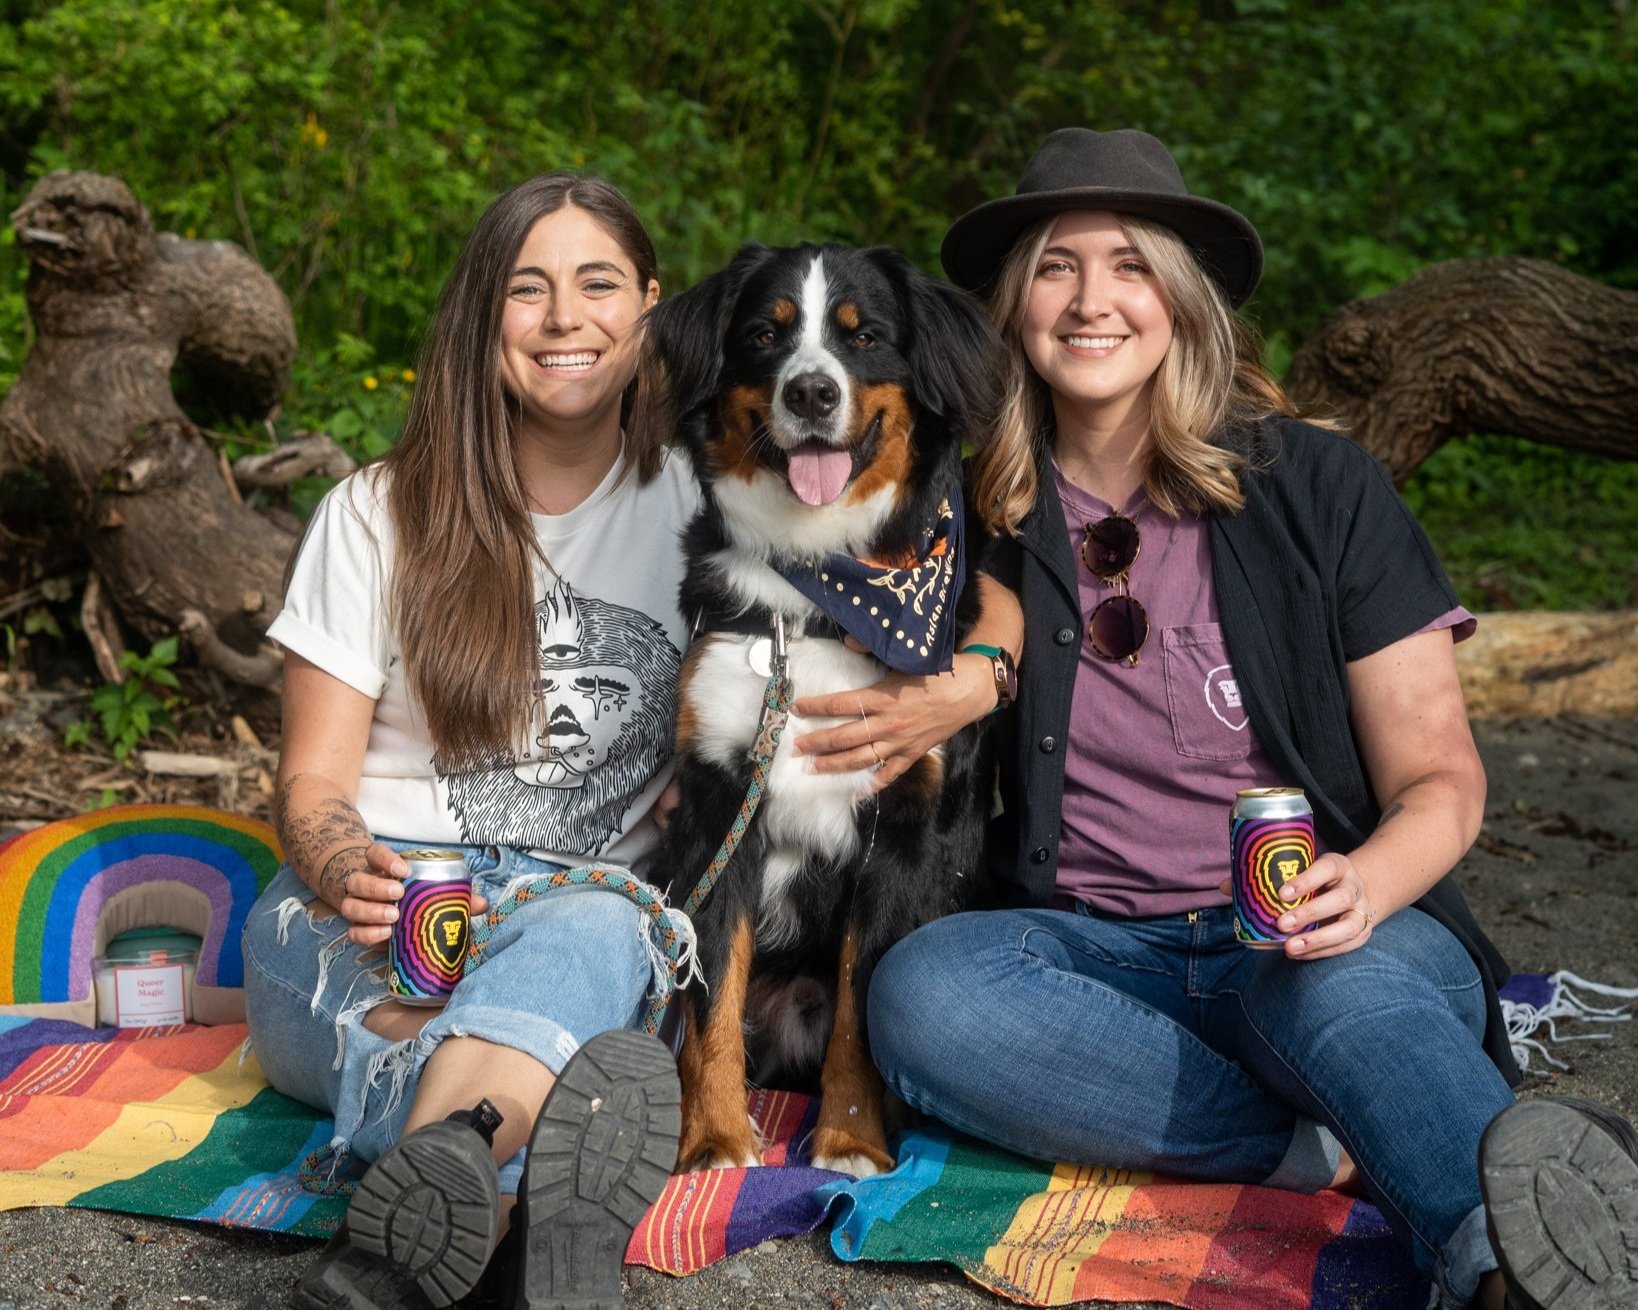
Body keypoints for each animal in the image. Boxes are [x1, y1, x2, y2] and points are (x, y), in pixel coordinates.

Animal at [645, 245, 1002, 1179]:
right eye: (765, 334)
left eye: (864, 336)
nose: (811, 393)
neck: (813, 599)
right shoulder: (716, 810)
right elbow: (713, 999)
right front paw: (715, 1140)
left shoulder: (904, 826)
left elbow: (859, 1013)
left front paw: (849, 1142)